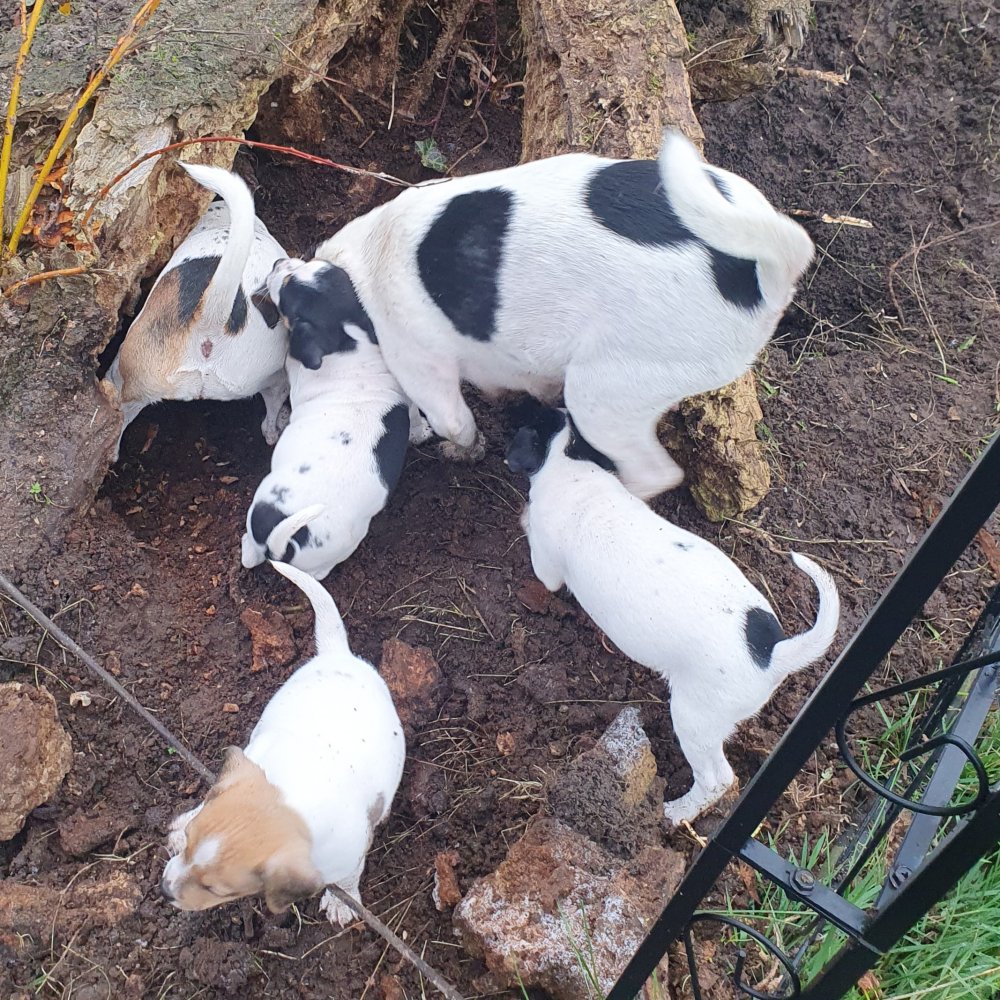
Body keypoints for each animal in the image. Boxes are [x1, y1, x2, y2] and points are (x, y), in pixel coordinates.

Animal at [161, 558, 405, 925]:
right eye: (190, 843)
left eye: (216, 890)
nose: (164, 890)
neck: (294, 795)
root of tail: (340, 655)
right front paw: (181, 828)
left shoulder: (348, 854)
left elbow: (347, 879)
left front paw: (342, 902)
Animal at [241, 259, 429, 580]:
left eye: (287, 286)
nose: (280, 262)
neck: (349, 340)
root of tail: (290, 541)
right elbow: (414, 412)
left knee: (253, 556)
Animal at [295, 130, 813, 500]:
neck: (355, 267)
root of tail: (763, 275)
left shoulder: (423, 369)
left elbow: (455, 423)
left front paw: (462, 450)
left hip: (603, 395)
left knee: (655, 473)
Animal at [505, 404, 840, 823]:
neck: (572, 464)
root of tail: (773, 653)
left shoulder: (547, 569)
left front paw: (523, 517)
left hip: (694, 718)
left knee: (717, 779)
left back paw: (676, 813)